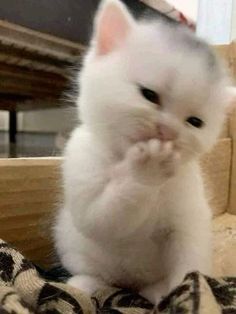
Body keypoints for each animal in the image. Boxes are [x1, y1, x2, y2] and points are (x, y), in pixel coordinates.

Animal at [54, 0, 234, 304]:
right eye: (149, 95)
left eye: (195, 122)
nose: (168, 132)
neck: (123, 157)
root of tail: (130, 284)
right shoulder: (81, 162)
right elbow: (100, 219)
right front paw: (147, 170)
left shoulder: (190, 216)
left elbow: (190, 256)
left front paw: (189, 291)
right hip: (70, 242)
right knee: (93, 272)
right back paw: (83, 285)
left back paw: (156, 292)